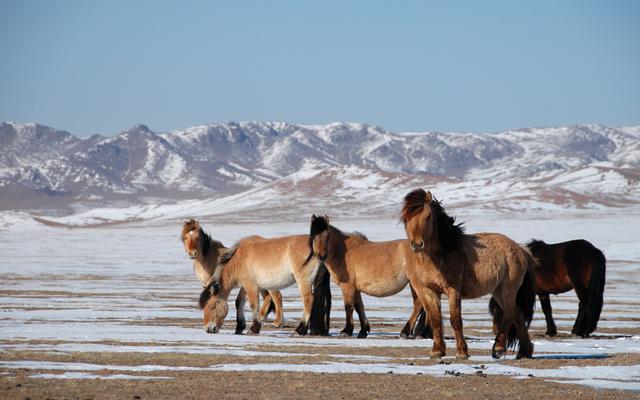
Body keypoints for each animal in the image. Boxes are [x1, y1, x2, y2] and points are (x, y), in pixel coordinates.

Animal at [199, 233, 332, 336]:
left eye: (212, 306)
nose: (208, 329)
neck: (238, 260)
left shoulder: (251, 286)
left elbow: (254, 305)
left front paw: (254, 328)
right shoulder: (245, 286)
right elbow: (239, 303)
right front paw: (239, 328)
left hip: (303, 281)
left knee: (308, 300)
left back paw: (300, 330)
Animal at [400, 188, 536, 360]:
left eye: (428, 216)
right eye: (406, 218)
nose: (417, 244)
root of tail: (521, 250)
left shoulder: (453, 290)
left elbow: (455, 320)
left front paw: (462, 352)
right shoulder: (427, 291)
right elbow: (436, 319)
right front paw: (437, 351)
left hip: (508, 289)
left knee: (509, 314)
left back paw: (498, 349)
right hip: (498, 290)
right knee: (517, 314)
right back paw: (525, 351)